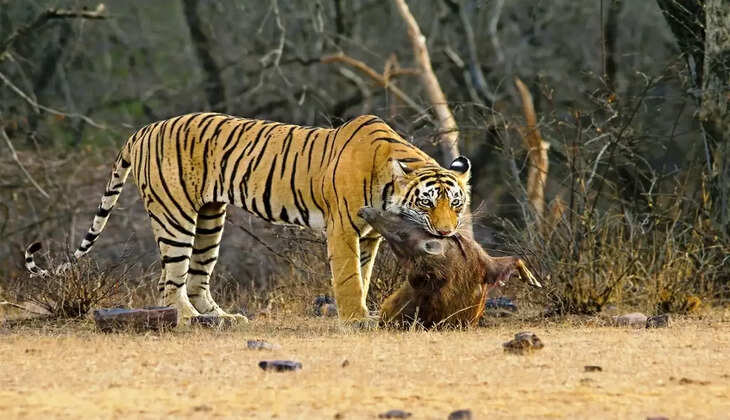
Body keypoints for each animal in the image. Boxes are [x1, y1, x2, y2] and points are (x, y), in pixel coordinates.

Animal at [25, 112, 471, 322]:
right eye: (427, 203)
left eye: (456, 204)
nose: (446, 232)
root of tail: (144, 129)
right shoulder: (344, 228)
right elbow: (347, 278)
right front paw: (357, 319)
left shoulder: (368, 235)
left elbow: (361, 275)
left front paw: (363, 311)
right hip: (175, 217)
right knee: (169, 281)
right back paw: (190, 320)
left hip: (210, 219)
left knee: (197, 276)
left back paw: (221, 318)